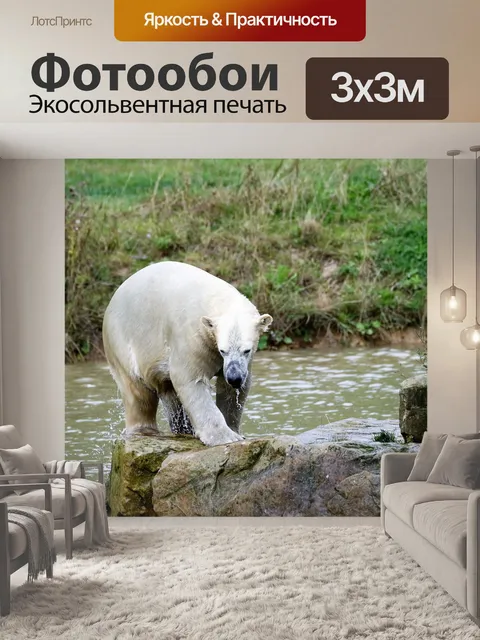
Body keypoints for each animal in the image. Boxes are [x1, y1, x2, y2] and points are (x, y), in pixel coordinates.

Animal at [102, 261, 273, 446]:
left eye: (247, 350)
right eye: (223, 350)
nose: (234, 378)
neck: (214, 298)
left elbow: (232, 389)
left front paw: (235, 430)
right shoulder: (191, 337)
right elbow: (190, 380)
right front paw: (225, 437)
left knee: (168, 392)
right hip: (122, 341)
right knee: (138, 393)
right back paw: (144, 431)